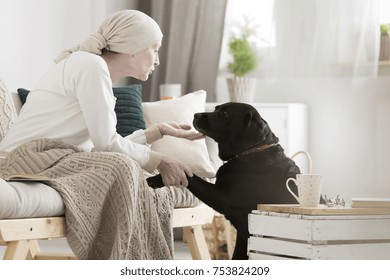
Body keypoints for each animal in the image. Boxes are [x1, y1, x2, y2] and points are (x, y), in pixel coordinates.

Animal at [148, 101, 300, 260]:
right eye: (216, 109)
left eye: (225, 114)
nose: (196, 115)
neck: (250, 152)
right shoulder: (243, 238)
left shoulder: (221, 198)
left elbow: (190, 175)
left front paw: (157, 178)